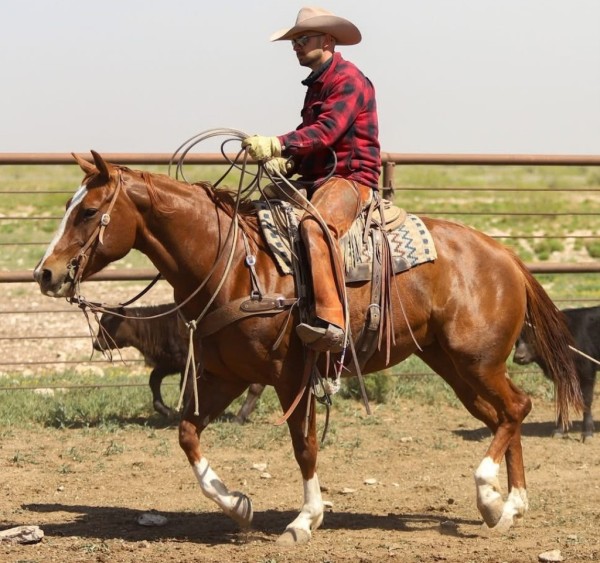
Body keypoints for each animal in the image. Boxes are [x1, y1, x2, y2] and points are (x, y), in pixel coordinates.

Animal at [93, 304, 265, 421]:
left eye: (108, 324)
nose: (96, 344)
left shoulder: (190, 364)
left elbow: (187, 388)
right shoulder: (170, 363)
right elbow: (154, 380)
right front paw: (167, 411)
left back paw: (239, 417)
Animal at [513, 305, 599, 441]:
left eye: (534, 337)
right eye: (517, 339)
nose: (518, 357)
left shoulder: (587, 372)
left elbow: (586, 400)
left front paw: (587, 432)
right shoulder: (562, 378)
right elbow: (562, 401)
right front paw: (559, 429)